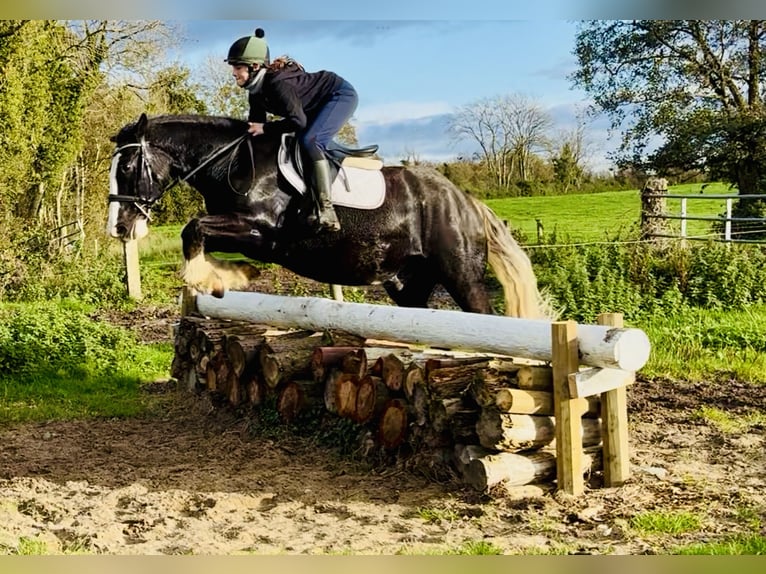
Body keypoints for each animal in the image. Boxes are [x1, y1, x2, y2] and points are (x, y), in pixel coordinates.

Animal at [107, 113, 551, 318]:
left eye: (127, 167)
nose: (120, 228)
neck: (232, 160)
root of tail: (467, 202)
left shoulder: (262, 233)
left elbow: (193, 228)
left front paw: (213, 279)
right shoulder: (243, 233)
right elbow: (197, 233)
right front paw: (230, 277)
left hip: (461, 274)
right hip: (407, 282)